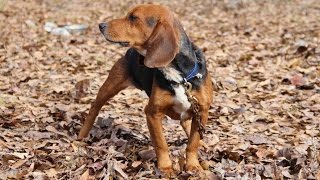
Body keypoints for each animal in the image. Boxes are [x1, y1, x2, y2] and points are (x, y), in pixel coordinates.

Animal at [78, 4, 212, 176]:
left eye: (133, 18)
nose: (101, 25)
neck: (180, 75)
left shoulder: (201, 111)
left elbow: (192, 144)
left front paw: (193, 165)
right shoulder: (152, 113)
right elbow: (161, 144)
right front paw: (165, 167)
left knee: (186, 124)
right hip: (109, 87)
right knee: (94, 107)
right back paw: (82, 135)